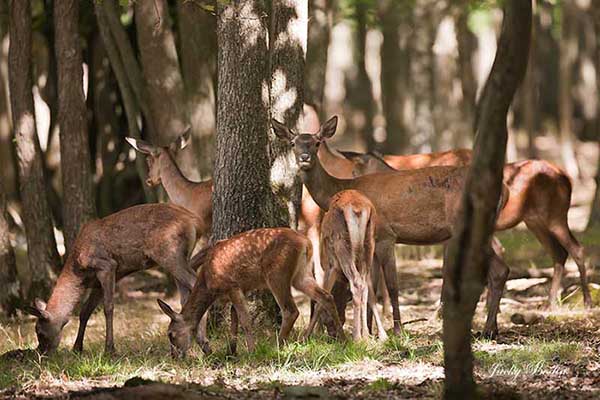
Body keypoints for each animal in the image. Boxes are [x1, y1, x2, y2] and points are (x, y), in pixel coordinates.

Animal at [24, 203, 206, 354]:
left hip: (169, 252)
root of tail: (196, 222)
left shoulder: (106, 266)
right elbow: (85, 312)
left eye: (40, 332)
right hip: (180, 255)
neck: (79, 271)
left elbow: (108, 307)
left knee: (194, 282)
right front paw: (77, 348)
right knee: (185, 295)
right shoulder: (97, 283)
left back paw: (202, 342)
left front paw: (109, 349)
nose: (41, 352)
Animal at [157, 228, 344, 360]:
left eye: (171, 334)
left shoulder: (232, 285)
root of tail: (306, 242)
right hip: (301, 274)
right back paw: (341, 338)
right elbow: (234, 318)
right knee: (326, 296)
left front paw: (251, 351)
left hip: (277, 273)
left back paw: (276, 346)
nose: (174, 357)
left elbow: (245, 320)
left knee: (291, 310)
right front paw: (231, 352)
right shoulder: (242, 288)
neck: (208, 283)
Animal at [308, 191, 386, 340]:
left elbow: (324, 296)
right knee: (364, 286)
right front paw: (382, 335)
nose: (332, 334)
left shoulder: (330, 265)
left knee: (356, 283)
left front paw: (306, 335)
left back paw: (356, 337)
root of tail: (357, 209)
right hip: (369, 245)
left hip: (341, 245)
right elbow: (371, 295)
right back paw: (365, 335)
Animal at [338, 148, 592, 308]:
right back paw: (550, 303)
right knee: (559, 252)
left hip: (555, 215)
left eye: (355, 170)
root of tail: (568, 178)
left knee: (577, 248)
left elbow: (449, 268)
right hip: (535, 221)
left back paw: (586, 301)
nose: (352, 186)